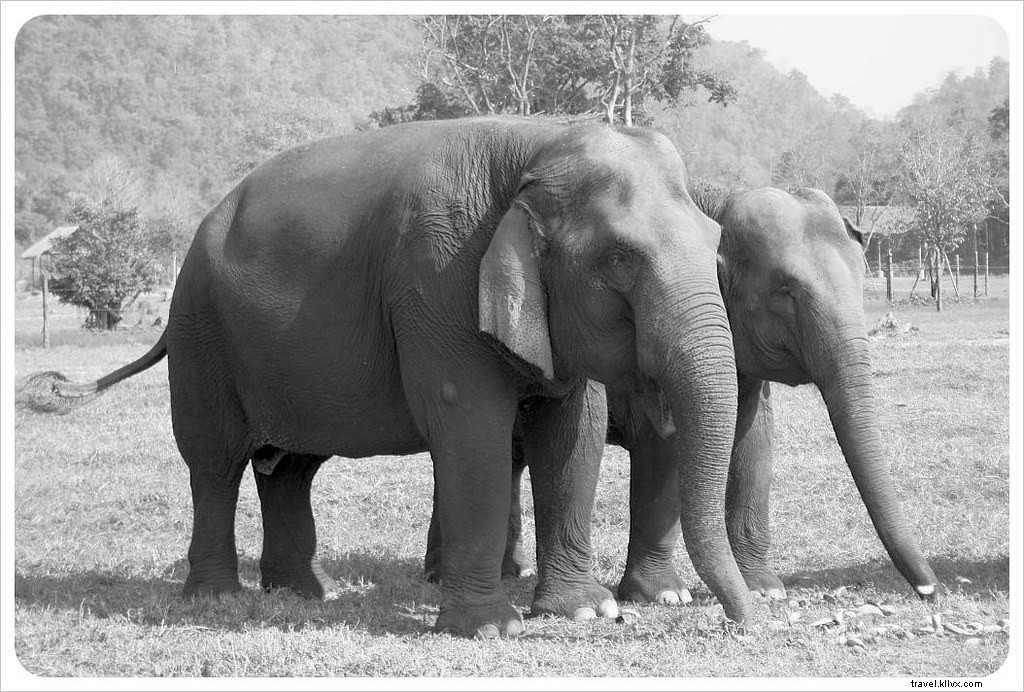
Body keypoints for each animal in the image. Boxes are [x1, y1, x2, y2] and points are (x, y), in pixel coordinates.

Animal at [19, 117, 753, 638]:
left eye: (717, 246)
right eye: (620, 258)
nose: (740, 621)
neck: (534, 145)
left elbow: (575, 432)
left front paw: (584, 612)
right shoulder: (436, 279)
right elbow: (470, 426)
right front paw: (489, 630)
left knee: (289, 467)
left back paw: (304, 595)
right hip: (202, 329)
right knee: (215, 462)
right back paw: (218, 598)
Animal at [425, 178, 939, 606]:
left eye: (861, 275)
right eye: (786, 291)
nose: (929, 591)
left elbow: (755, 442)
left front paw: (765, 589)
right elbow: (665, 448)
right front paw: (664, 596)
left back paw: (512, 571)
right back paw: (442, 574)